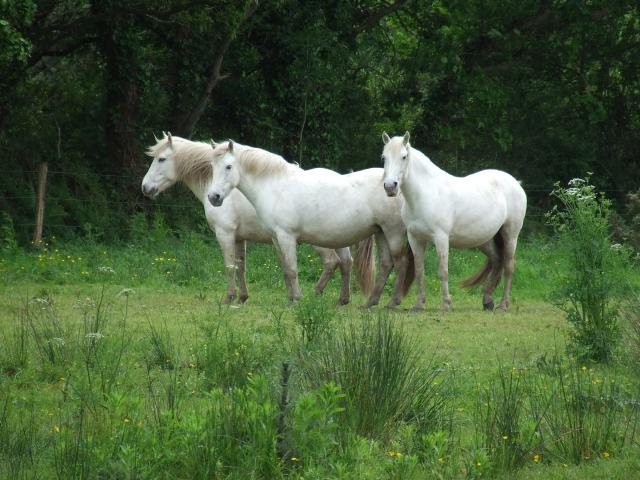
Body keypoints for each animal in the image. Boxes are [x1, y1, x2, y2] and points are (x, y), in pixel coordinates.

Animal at [141, 133, 356, 305]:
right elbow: (241, 267)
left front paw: (229, 298)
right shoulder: (239, 238)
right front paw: (242, 297)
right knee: (345, 262)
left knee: (331, 262)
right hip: (337, 238)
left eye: (161, 159)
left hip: (319, 241)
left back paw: (315, 293)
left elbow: (230, 267)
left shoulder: (225, 234)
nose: (145, 188)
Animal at [207, 140, 415, 307]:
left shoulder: (286, 236)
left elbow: (292, 270)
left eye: (228, 166)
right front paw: (291, 298)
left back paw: (393, 302)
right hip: (381, 232)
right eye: (212, 166)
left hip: (393, 232)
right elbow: (285, 269)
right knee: (386, 265)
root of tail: (396, 184)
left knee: (400, 263)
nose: (213, 197)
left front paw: (297, 299)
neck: (275, 186)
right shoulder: (276, 238)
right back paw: (369, 302)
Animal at [381, 132, 527, 311]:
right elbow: (420, 271)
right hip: (484, 240)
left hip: (510, 235)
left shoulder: (441, 238)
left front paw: (446, 304)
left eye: (404, 156)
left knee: (509, 266)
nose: (390, 186)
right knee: (497, 260)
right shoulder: (415, 239)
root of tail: (516, 183)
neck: (426, 194)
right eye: (384, 157)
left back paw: (503, 305)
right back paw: (487, 301)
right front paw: (419, 304)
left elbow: (443, 271)